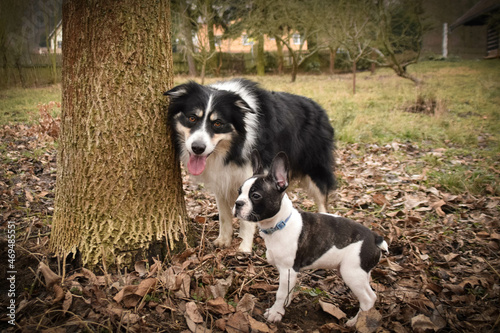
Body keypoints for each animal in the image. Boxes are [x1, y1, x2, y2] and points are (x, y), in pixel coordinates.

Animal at [165, 79, 336, 253]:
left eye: (218, 123)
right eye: (192, 118)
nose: (197, 148)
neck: (232, 148)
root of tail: (319, 107)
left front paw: (244, 247)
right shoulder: (222, 177)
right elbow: (224, 214)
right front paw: (224, 240)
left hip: (315, 166)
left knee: (322, 198)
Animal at [232, 151, 388, 326]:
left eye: (256, 195)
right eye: (239, 191)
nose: (238, 203)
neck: (280, 223)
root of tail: (375, 237)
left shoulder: (287, 270)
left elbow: (280, 293)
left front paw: (275, 313)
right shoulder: (289, 273)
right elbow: (287, 291)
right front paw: (285, 305)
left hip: (352, 273)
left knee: (367, 299)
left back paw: (355, 323)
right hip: (360, 272)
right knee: (371, 295)